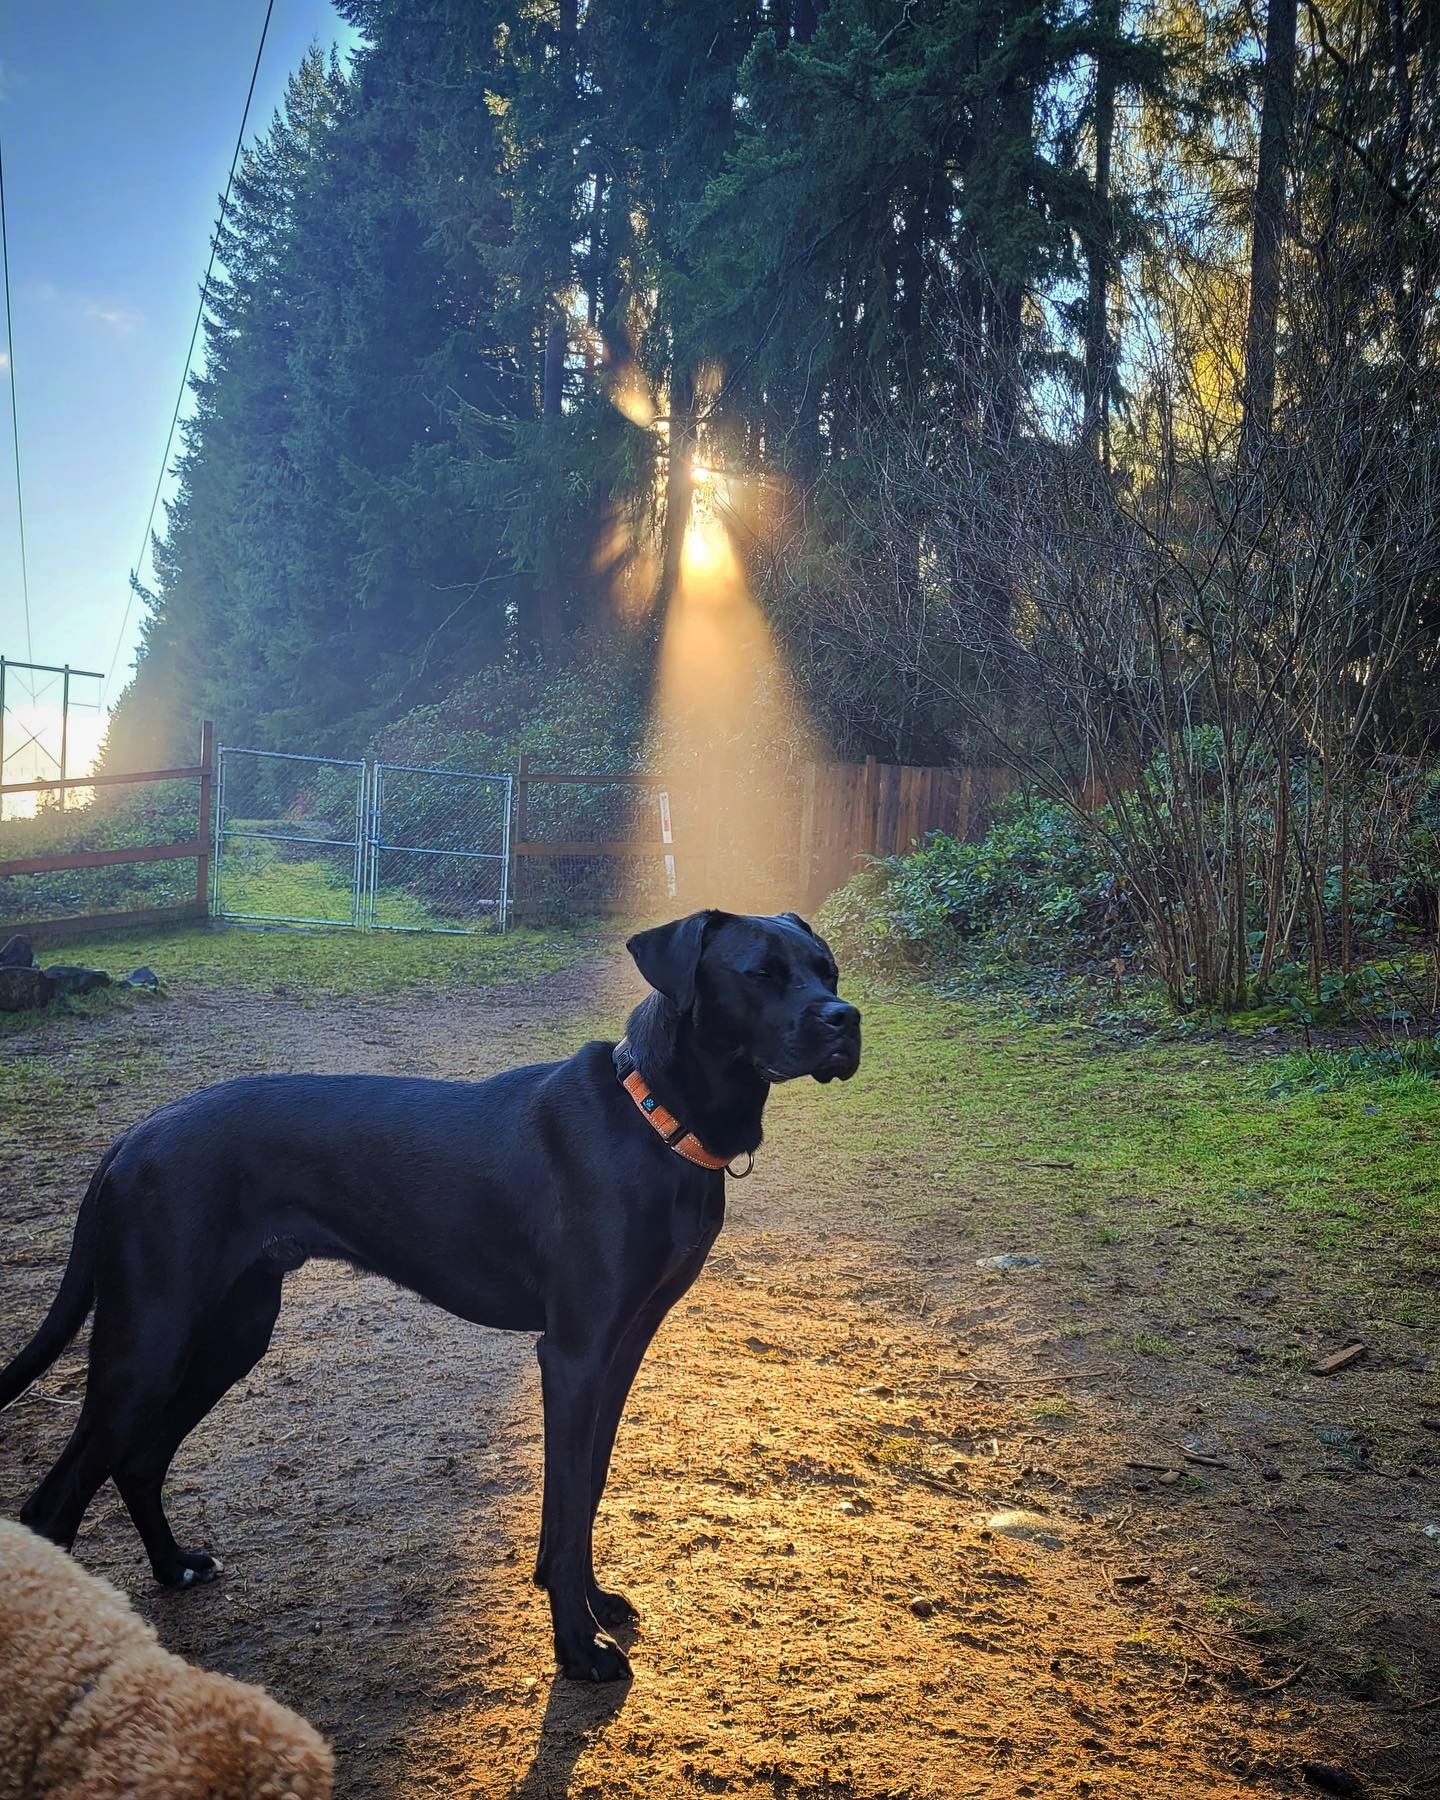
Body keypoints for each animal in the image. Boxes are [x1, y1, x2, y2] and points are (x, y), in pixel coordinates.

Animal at [0, 914, 856, 1684]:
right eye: (760, 974)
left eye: (829, 970)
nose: (846, 1020)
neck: (656, 1122)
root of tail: (136, 1134)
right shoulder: (573, 1356)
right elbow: (566, 1498)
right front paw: (576, 1652)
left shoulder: (623, 1350)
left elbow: (586, 1488)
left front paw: (588, 1599)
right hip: (149, 1339)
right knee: (52, 1505)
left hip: (230, 1334)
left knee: (139, 1460)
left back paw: (174, 1565)